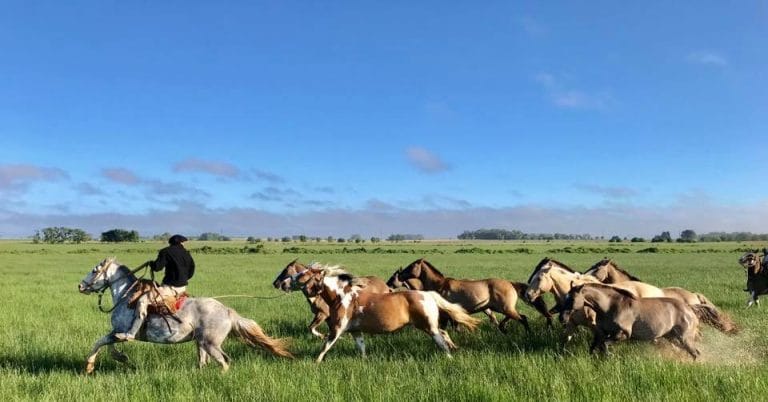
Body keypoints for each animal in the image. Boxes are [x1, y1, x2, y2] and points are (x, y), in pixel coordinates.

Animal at [79, 257, 292, 373]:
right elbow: (104, 344)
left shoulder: (121, 331)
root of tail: (228, 312)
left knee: (224, 361)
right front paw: (115, 359)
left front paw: (93, 365)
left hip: (210, 343)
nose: (80, 286)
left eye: (94, 270)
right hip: (201, 343)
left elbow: (102, 342)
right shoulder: (115, 331)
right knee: (206, 362)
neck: (126, 296)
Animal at [290, 265, 480, 362]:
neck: (341, 297)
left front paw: (315, 363)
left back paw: (449, 356)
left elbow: (325, 347)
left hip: (428, 326)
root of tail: (427, 295)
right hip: (428, 325)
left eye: (304, 274)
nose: (287, 281)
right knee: (444, 333)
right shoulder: (355, 331)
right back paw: (454, 348)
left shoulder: (337, 329)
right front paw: (365, 361)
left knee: (441, 340)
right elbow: (361, 348)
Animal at [390, 258, 554, 332]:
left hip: (505, 308)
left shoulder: (446, 314)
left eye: (412, 266)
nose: (400, 275)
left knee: (523, 319)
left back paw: (527, 333)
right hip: (503, 309)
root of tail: (510, 283)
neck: (440, 286)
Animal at [563, 283, 701, 359]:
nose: (562, 318)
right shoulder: (602, 332)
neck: (611, 306)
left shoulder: (623, 333)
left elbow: (604, 345)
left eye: (572, 299)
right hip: (673, 338)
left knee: (695, 353)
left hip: (684, 338)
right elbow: (595, 347)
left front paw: (610, 358)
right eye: (565, 297)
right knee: (695, 352)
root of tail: (690, 309)